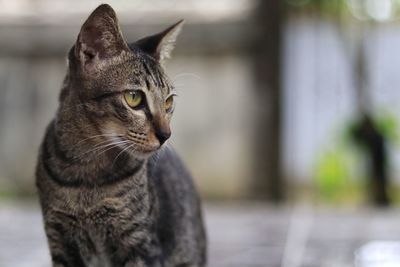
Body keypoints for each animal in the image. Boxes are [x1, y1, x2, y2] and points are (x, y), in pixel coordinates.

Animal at [35, 4, 206, 267]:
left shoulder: (139, 241)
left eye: (168, 102)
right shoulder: (60, 238)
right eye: (134, 98)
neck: (86, 174)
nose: (166, 135)